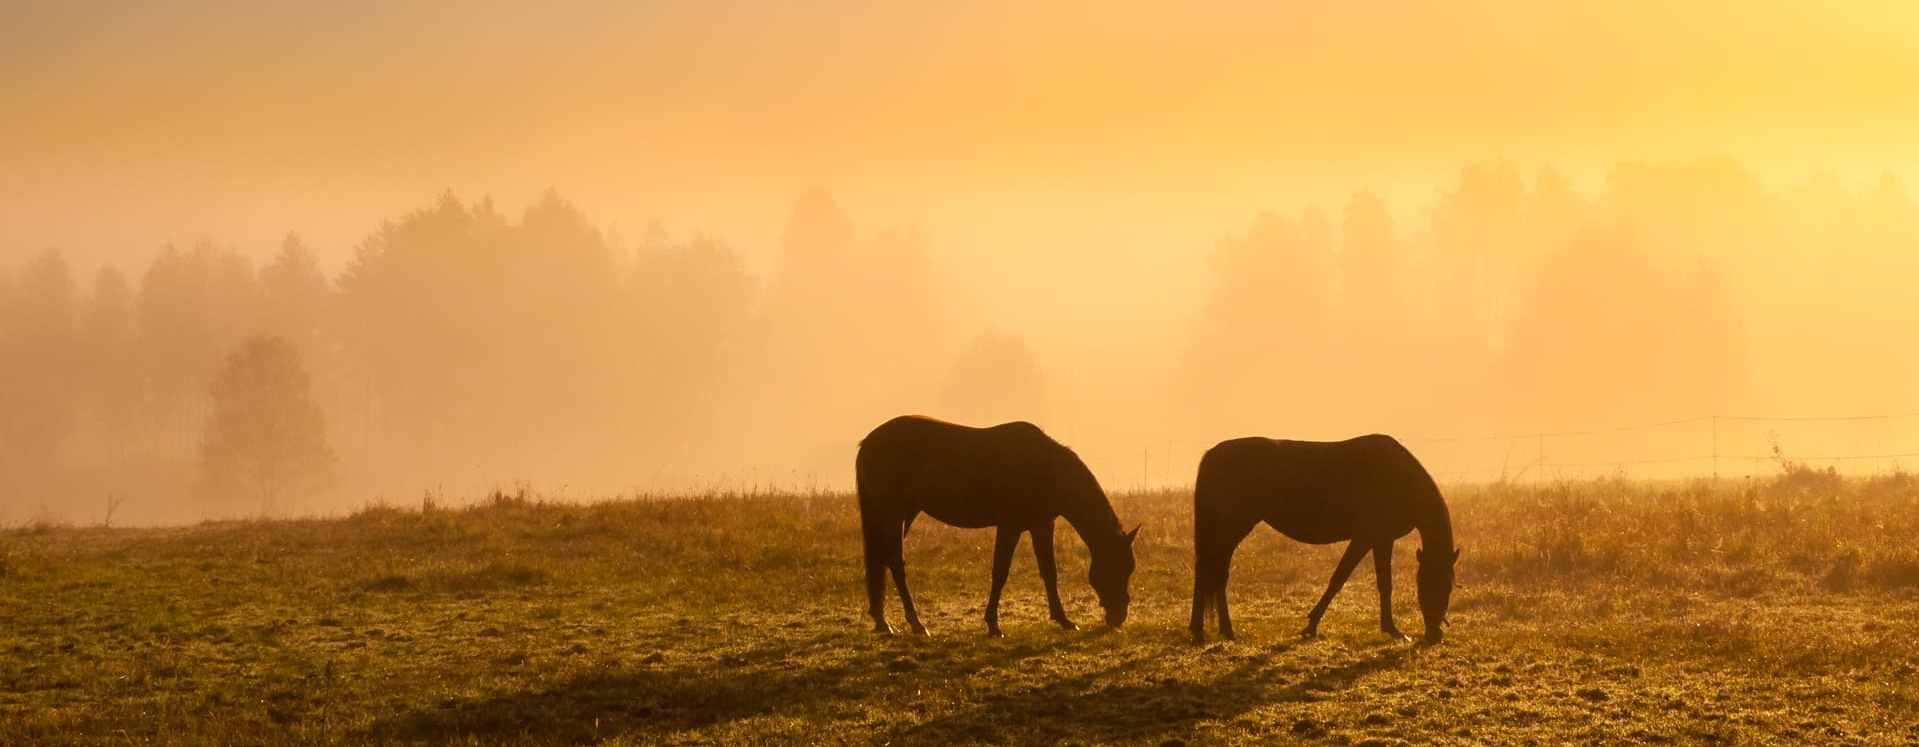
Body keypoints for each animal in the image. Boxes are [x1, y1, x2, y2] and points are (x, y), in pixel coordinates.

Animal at [859, 412, 1136, 633]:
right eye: (1119, 567)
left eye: (1129, 568)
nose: (1118, 616)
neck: (1045, 469)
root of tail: (868, 442)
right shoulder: (1010, 527)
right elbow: (1000, 573)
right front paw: (993, 624)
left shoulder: (1041, 526)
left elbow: (1049, 572)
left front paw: (1064, 620)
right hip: (893, 514)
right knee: (895, 562)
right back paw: (916, 623)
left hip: (904, 514)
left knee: (883, 560)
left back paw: (883, 622)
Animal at [1189, 433, 1458, 641]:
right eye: (1431, 584)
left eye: (1449, 587)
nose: (1434, 635)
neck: (1399, 477)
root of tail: (1214, 454)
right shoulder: (1376, 538)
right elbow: (1374, 582)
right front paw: (1392, 630)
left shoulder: (1368, 539)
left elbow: (1342, 579)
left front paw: (1311, 625)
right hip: (1232, 527)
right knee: (1213, 572)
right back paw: (1215, 630)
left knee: (1213, 572)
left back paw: (1209, 630)